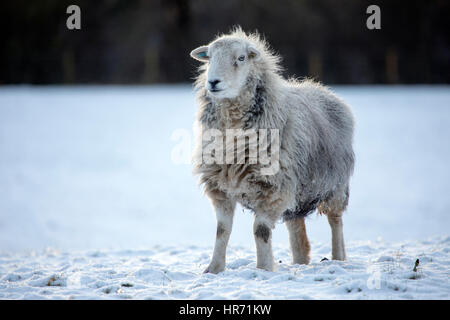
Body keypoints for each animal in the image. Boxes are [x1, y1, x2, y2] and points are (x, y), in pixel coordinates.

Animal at [190, 27, 356, 272]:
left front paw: (264, 269)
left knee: (335, 220)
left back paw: (338, 258)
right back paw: (300, 261)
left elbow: (261, 231)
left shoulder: (272, 190)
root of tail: (322, 89)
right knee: (298, 231)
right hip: (297, 189)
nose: (212, 82)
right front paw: (214, 269)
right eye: (209, 57)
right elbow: (222, 231)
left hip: (335, 185)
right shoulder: (221, 189)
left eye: (241, 58)